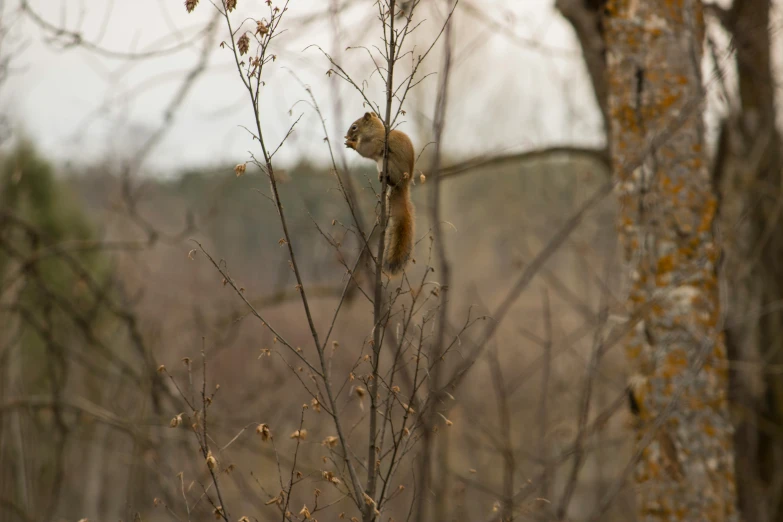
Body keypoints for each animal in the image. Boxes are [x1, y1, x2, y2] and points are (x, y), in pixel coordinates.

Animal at [344, 111, 416, 274]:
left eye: (354, 127)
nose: (346, 136)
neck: (375, 131)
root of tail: (403, 185)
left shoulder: (376, 142)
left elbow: (365, 149)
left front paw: (351, 144)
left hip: (390, 164)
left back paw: (386, 177)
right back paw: (381, 177)